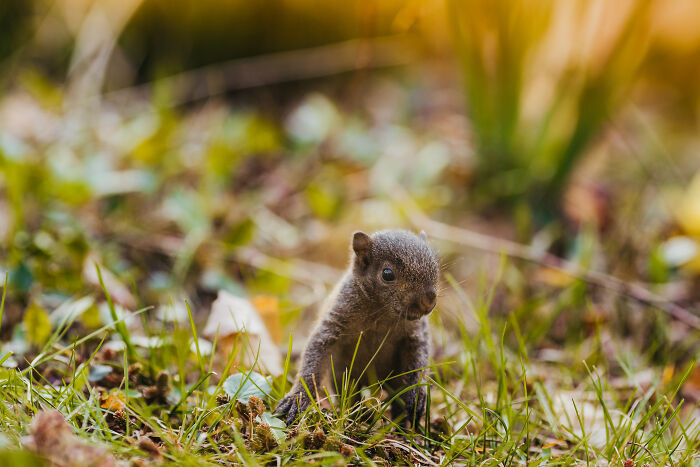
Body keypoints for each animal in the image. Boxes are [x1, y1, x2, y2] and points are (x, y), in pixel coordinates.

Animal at [274, 229, 438, 430]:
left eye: (435, 267)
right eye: (387, 274)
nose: (429, 300)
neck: (382, 314)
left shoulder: (416, 335)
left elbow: (420, 360)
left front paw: (418, 392)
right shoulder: (336, 320)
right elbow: (315, 352)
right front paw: (298, 397)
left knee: (398, 401)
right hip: (344, 376)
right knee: (351, 395)